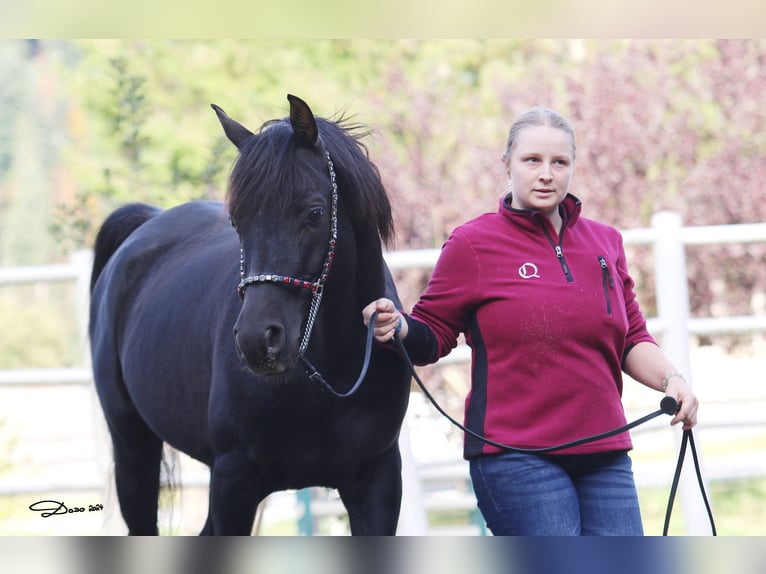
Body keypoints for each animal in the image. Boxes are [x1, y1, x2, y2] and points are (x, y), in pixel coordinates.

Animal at [88, 93, 414, 536]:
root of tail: (147, 223)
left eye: (315, 214)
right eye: (236, 220)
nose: (258, 340)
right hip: (133, 446)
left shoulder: (377, 481)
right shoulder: (234, 483)